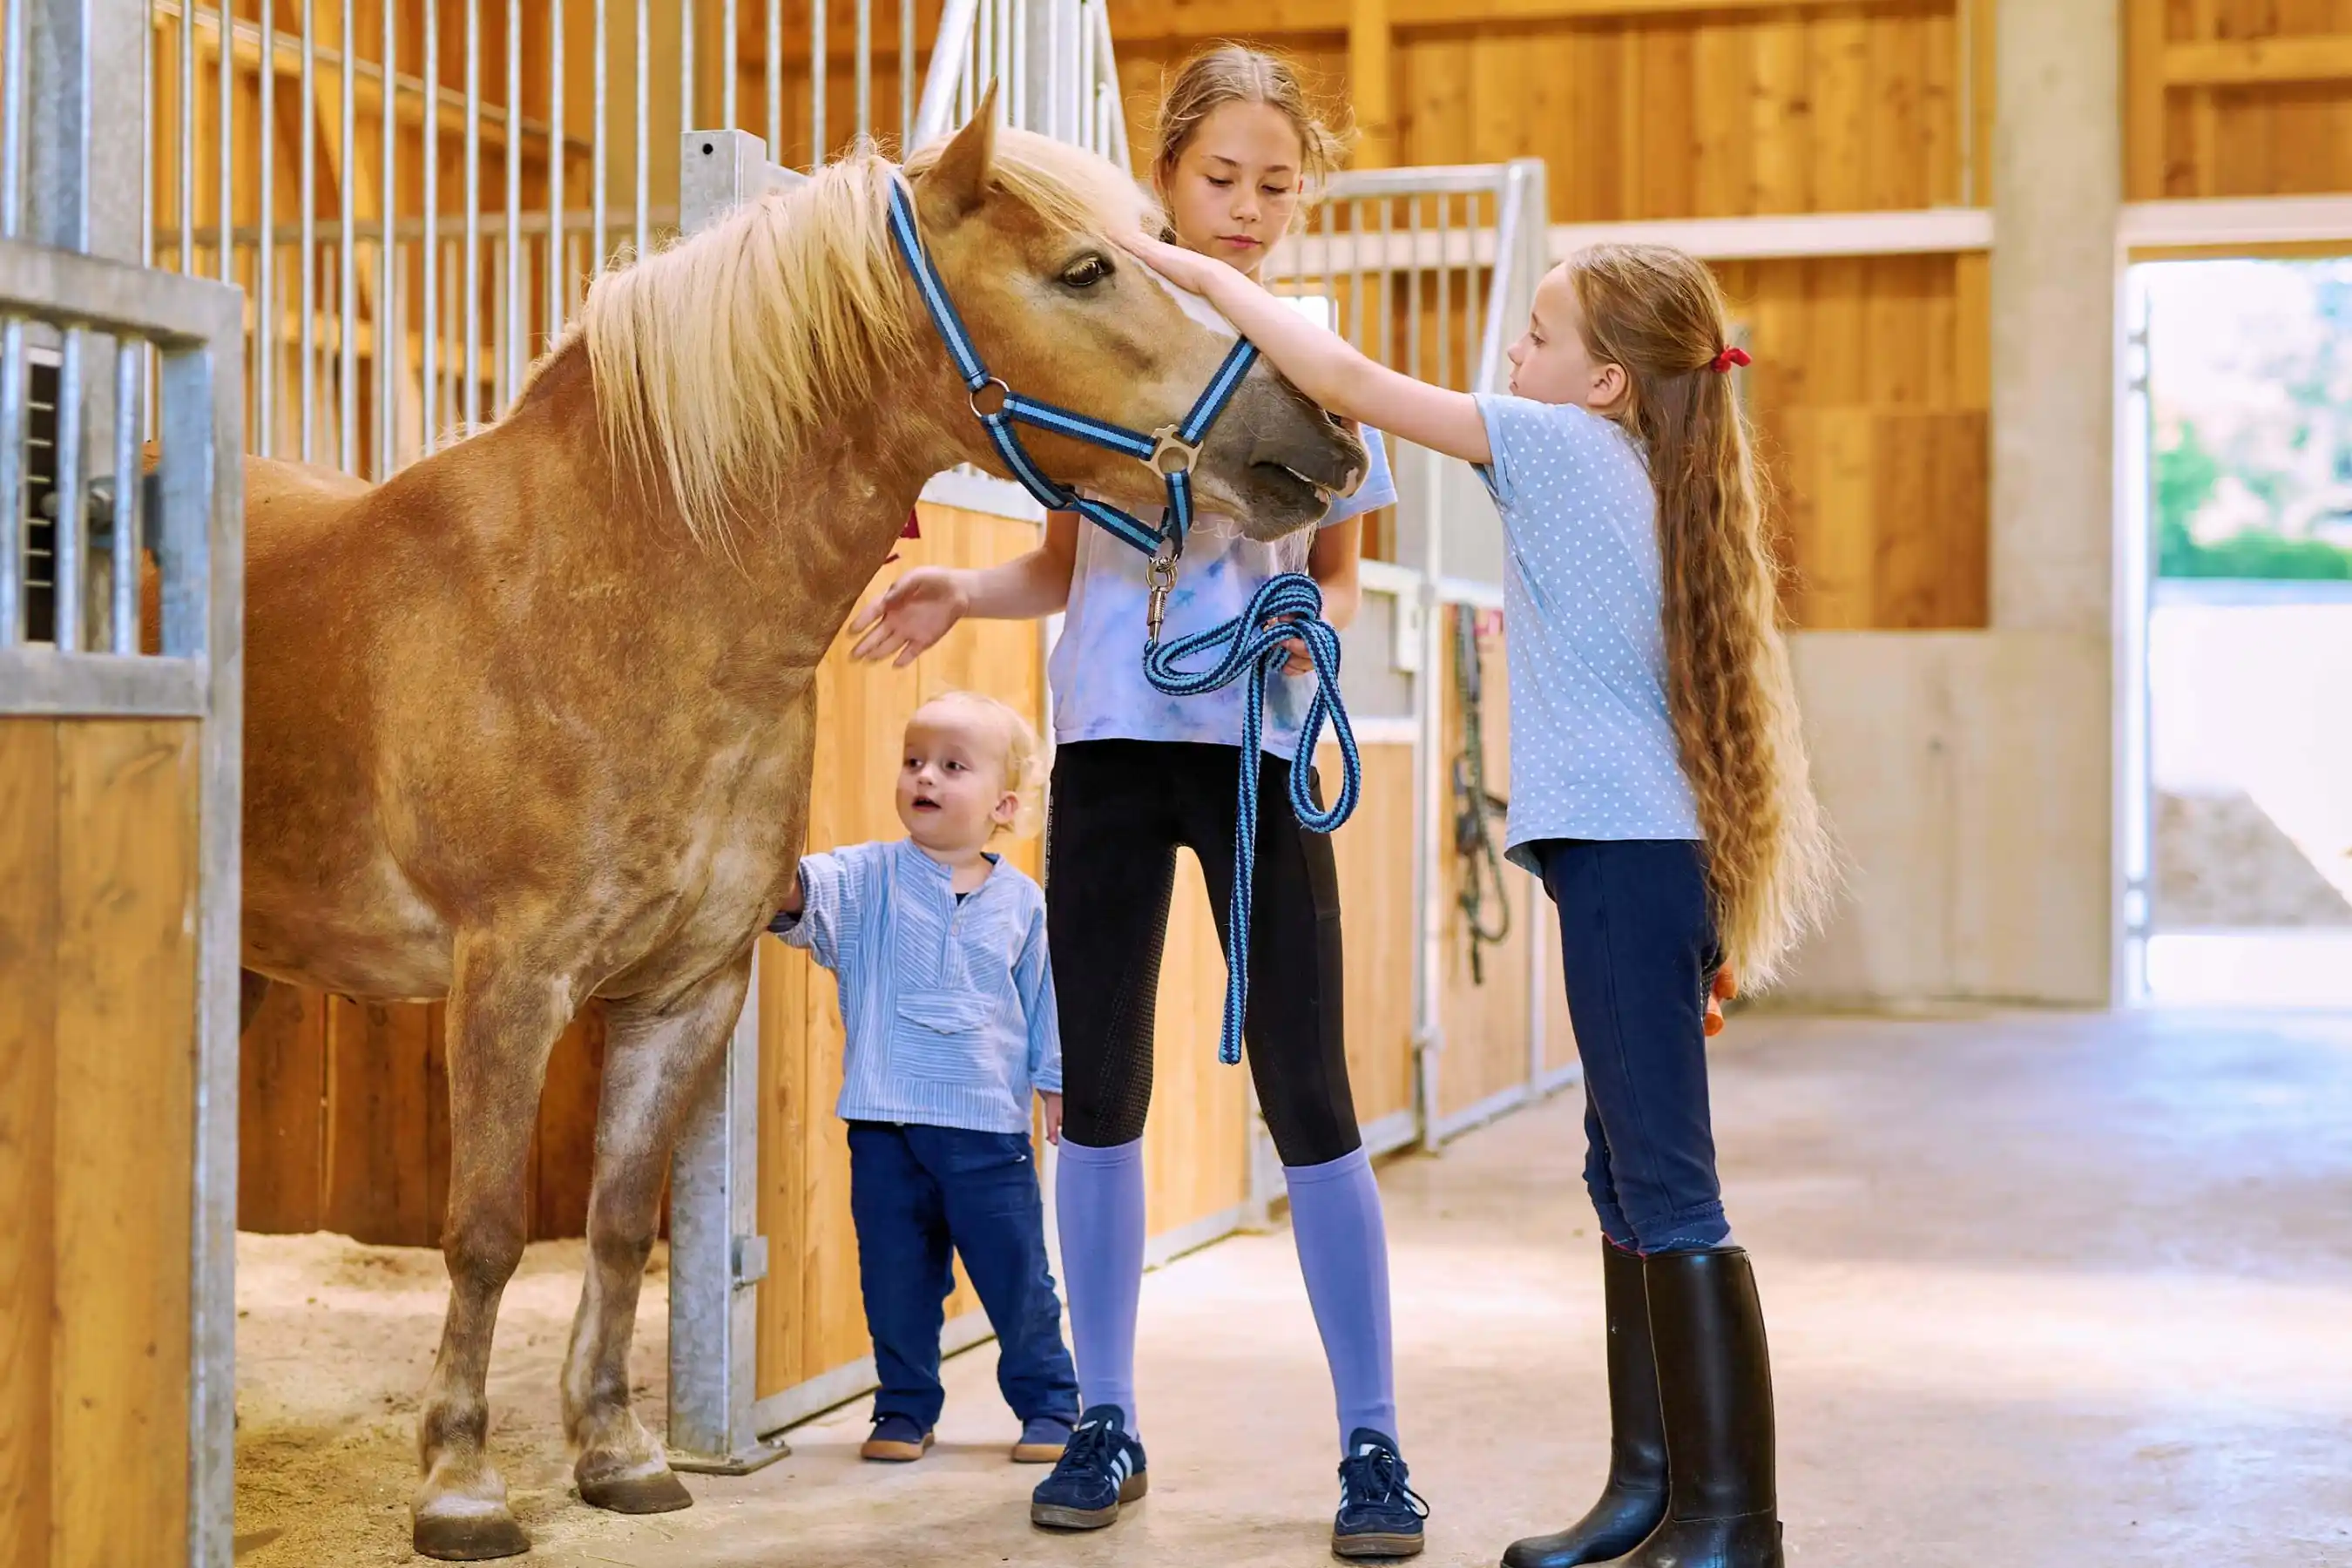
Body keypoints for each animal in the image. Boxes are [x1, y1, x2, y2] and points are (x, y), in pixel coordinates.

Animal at [226, 101, 1367, 1560]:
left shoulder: (688, 990)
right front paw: (463, 1487)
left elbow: (615, 1222)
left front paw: (618, 1457)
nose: (1321, 446)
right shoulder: (509, 984)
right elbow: (483, 1230)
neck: (611, 591)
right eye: (1084, 271)